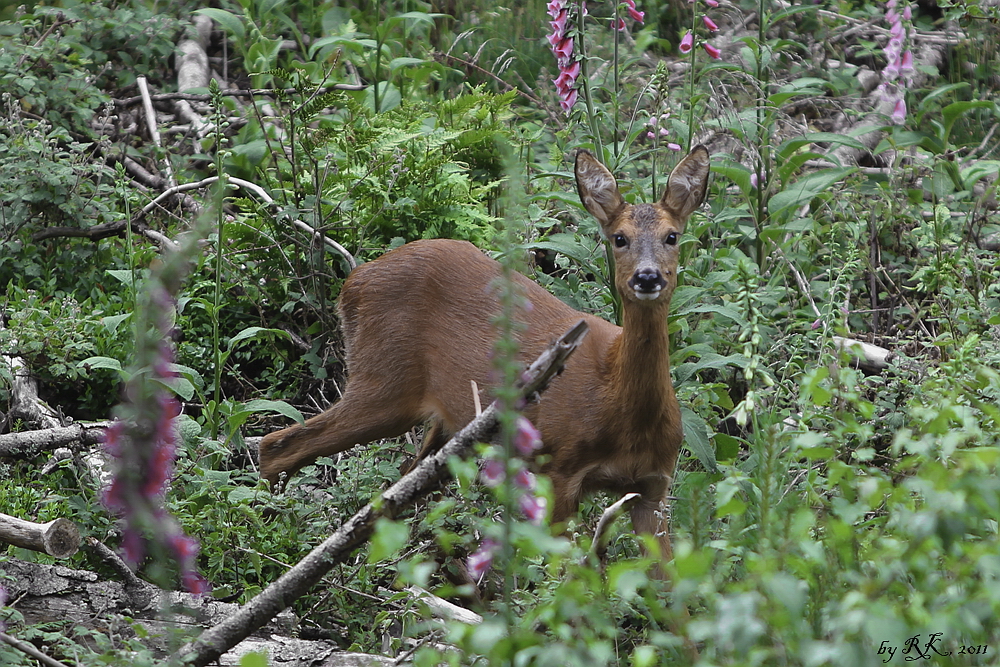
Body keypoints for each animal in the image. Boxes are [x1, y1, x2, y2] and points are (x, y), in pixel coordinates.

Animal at [258, 146, 712, 564]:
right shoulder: (559, 468)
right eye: (619, 238)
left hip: (442, 423)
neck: (620, 404)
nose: (647, 277)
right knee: (276, 444)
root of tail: (352, 281)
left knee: (397, 484)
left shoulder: (653, 488)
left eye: (672, 236)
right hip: (383, 379)